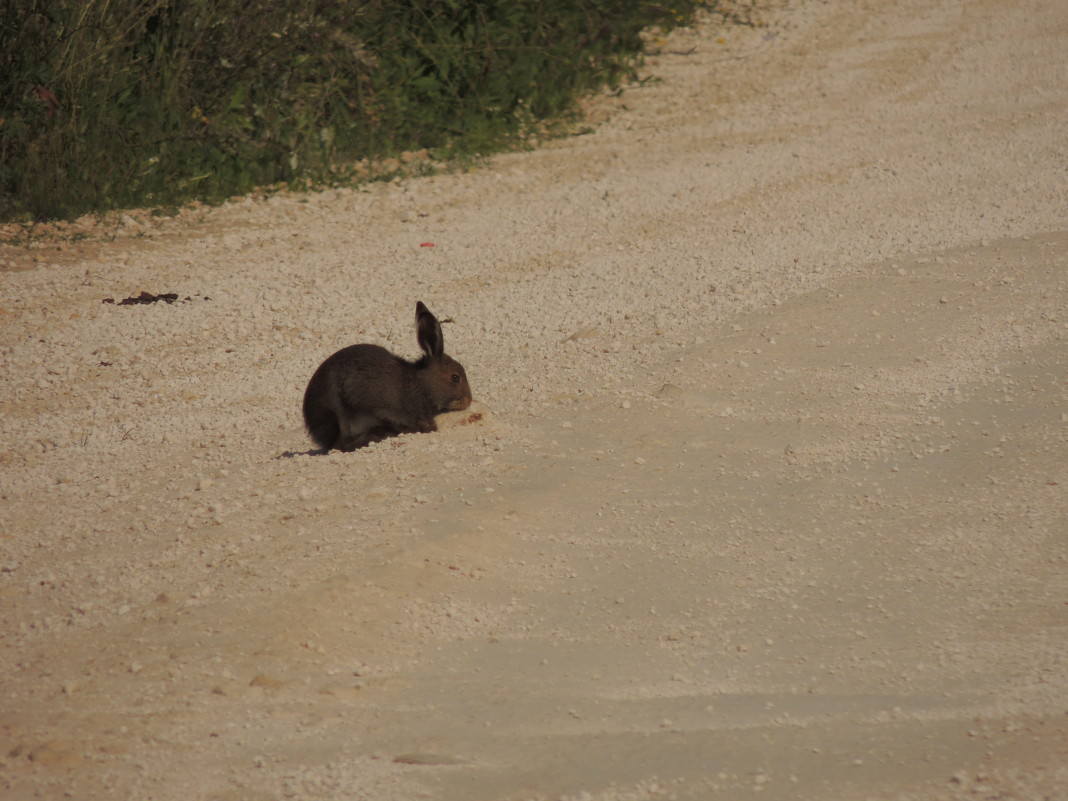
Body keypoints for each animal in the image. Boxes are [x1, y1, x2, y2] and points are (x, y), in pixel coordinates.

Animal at [299, 301, 469, 452]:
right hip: (337, 411)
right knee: (342, 443)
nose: (468, 400)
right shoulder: (369, 400)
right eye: (455, 377)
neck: (420, 384)